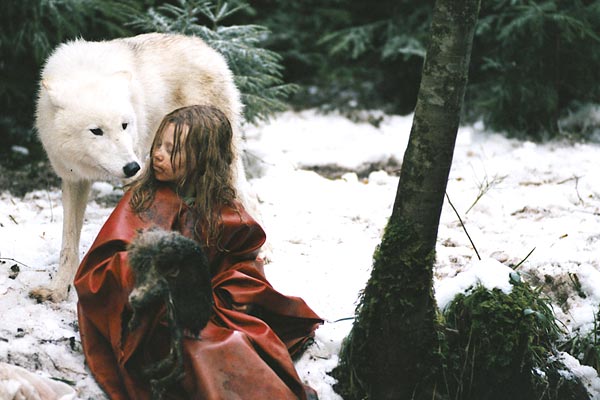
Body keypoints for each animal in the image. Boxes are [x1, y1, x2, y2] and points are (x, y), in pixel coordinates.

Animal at [32, 33, 246, 304]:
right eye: (96, 130)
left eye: (125, 125)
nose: (132, 167)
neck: (85, 71)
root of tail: (207, 47)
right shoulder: (74, 179)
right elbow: (68, 243)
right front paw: (58, 290)